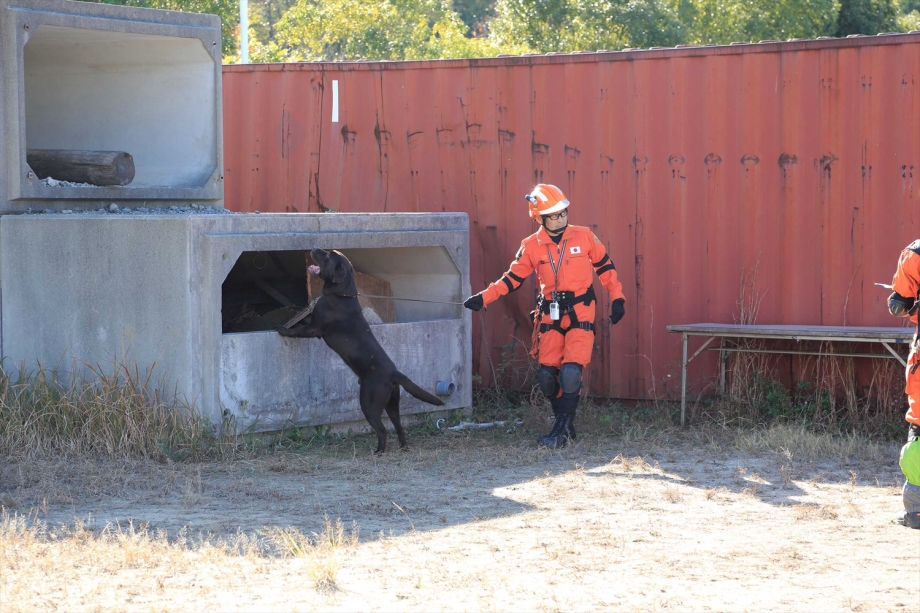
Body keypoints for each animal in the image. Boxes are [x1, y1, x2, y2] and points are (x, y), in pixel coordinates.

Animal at [276, 248, 444, 453]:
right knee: (399, 427)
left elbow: (297, 331)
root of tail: (394, 373)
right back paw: (403, 448)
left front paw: (283, 330)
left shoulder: (315, 328)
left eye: (327, 256)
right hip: (392, 404)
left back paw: (378, 452)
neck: (341, 294)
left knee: (382, 430)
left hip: (368, 403)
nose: (314, 247)